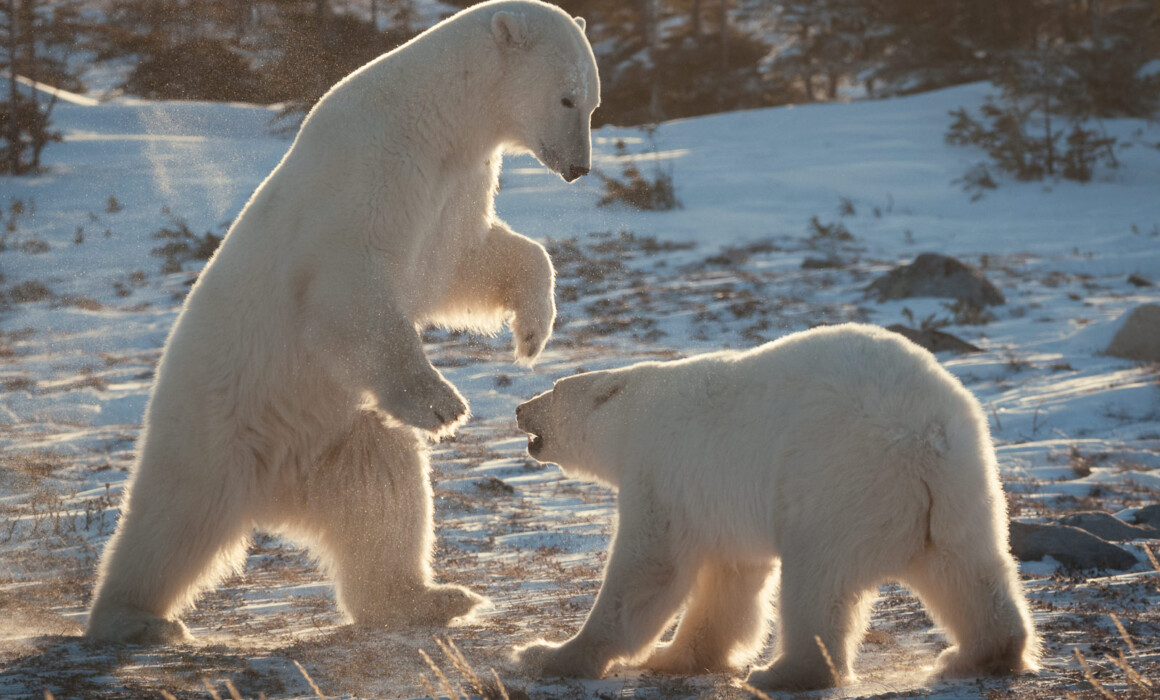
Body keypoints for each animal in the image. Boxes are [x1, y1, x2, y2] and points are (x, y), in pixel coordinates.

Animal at [85, 0, 600, 645]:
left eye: (593, 102)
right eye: (567, 98)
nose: (579, 168)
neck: (436, 119)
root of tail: (274, 490)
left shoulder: (455, 186)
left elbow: (463, 262)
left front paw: (532, 334)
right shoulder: (374, 175)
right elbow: (349, 290)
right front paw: (442, 404)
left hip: (341, 439)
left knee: (383, 498)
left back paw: (432, 598)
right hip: (212, 424)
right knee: (173, 522)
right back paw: (135, 618)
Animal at [513, 323, 1038, 691]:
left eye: (554, 390)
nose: (519, 408)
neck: (635, 415)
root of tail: (922, 437)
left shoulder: (663, 470)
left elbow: (648, 569)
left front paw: (549, 653)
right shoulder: (715, 496)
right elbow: (730, 579)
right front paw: (674, 654)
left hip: (836, 481)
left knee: (816, 581)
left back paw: (783, 672)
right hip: (963, 489)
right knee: (969, 569)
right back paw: (979, 653)